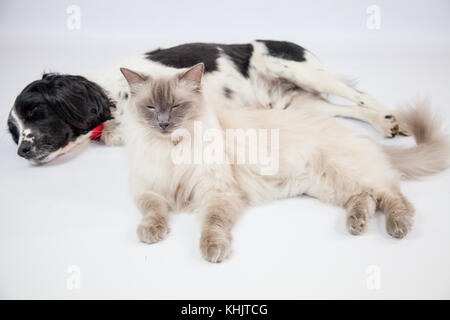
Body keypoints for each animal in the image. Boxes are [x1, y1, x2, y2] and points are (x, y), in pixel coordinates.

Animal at [7, 40, 402, 164]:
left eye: (36, 112)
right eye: (14, 132)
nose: (21, 151)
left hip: (301, 70)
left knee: (363, 97)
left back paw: (389, 117)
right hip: (299, 104)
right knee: (348, 109)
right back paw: (383, 123)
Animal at [120, 62, 450, 262]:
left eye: (176, 106)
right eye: (151, 107)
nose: (163, 123)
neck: (169, 149)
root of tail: (358, 135)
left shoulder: (217, 192)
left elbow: (212, 223)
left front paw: (213, 249)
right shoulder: (147, 190)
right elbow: (154, 211)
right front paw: (151, 233)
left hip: (346, 173)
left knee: (393, 196)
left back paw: (397, 227)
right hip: (328, 186)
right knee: (365, 199)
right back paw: (356, 224)